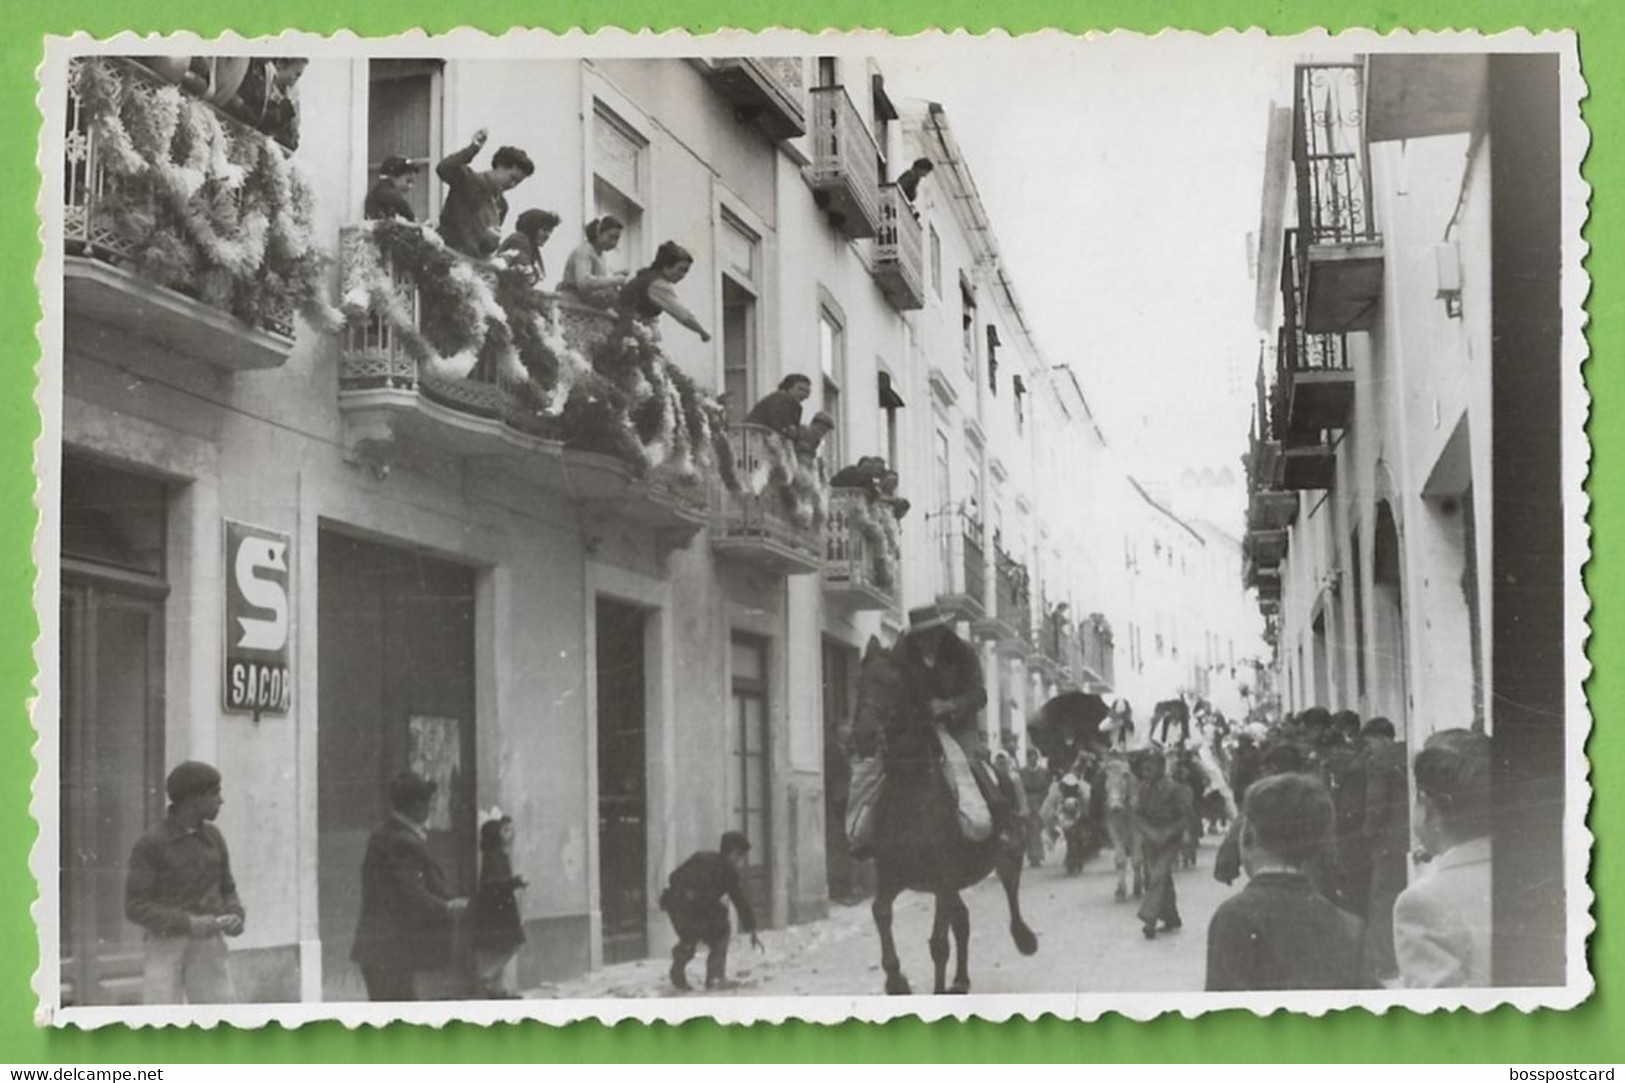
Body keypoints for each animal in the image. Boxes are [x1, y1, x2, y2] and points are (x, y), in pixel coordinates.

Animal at [851, 637, 1040, 988]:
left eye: (895, 685)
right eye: (861, 683)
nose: (863, 736)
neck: (912, 791)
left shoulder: (942, 879)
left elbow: (938, 944)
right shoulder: (893, 875)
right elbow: (880, 911)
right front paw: (896, 980)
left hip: (1005, 855)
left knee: (1010, 891)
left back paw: (1023, 938)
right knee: (962, 920)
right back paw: (961, 980)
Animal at [1105, 748, 1144, 897]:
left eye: (1125, 775)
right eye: (1106, 775)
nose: (1115, 806)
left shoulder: (1138, 831)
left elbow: (1137, 860)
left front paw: (1138, 888)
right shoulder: (1113, 828)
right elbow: (1120, 860)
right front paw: (1121, 890)